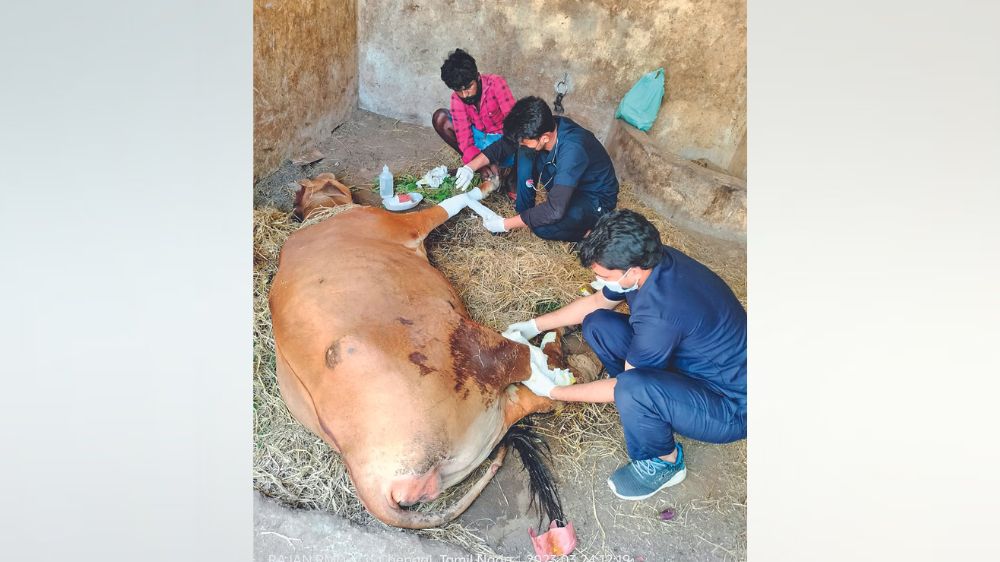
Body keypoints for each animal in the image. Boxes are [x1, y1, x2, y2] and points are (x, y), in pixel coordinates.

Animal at [269, 173, 566, 529]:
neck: (319, 219)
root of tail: (370, 483)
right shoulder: (401, 225)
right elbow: (451, 202)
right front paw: (486, 184)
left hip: (483, 423)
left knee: (532, 401)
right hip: (461, 339)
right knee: (527, 368)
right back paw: (554, 352)